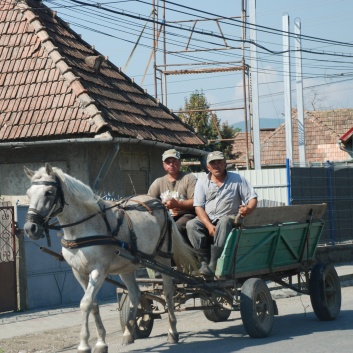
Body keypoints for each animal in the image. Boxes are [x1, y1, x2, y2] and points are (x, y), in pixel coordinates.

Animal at [23, 163, 197, 352]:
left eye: (49, 192)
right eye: (28, 193)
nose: (30, 228)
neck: (84, 227)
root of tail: (160, 204)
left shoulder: (99, 270)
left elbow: (85, 303)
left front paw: (84, 344)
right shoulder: (79, 272)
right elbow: (93, 303)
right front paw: (100, 342)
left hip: (162, 258)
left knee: (168, 291)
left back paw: (172, 331)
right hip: (127, 266)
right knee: (135, 293)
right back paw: (128, 333)